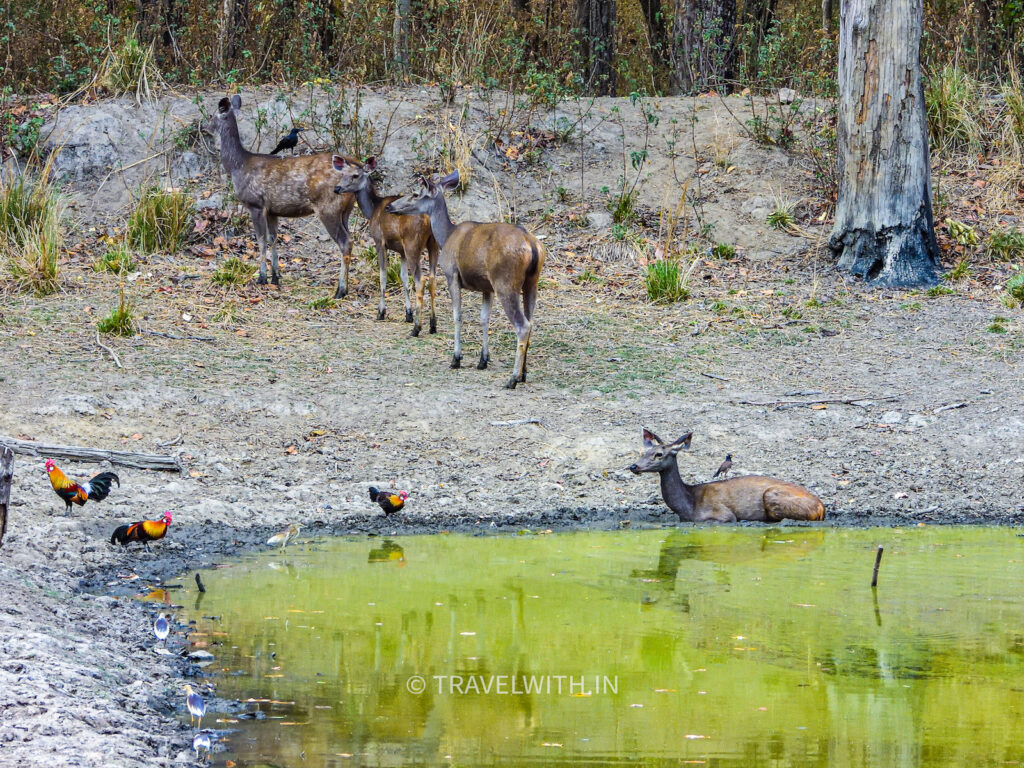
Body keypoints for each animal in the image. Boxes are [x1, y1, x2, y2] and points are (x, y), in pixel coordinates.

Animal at [209, 97, 358, 296]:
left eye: (212, 114)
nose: (204, 126)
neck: (237, 165)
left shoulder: (255, 203)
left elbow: (261, 240)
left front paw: (261, 278)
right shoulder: (273, 210)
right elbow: (273, 239)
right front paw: (275, 277)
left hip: (329, 207)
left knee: (345, 242)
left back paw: (340, 290)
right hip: (346, 211)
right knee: (350, 239)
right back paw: (344, 288)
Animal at [329, 156, 438, 335]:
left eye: (355, 175)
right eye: (342, 174)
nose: (337, 188)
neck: (372, 210)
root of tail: (428, 219)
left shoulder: (379, 241)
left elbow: (383, 275)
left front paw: (381, 312)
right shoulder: (401, 250)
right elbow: (404, 278)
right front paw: (408, 314)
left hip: (412, 244)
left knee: (421, 280)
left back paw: (417, 328)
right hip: (432, 244)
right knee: (433, 279)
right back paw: (433, 325)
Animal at [385, 167, 544, 385]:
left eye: (415, 194)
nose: (390, 206)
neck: (446, 236)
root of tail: (532, 245)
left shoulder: (451, 274)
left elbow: (457, 315)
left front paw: (456, 358)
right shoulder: (487, 287)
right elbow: (484, 319)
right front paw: (483, 360)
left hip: (505, 282)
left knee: (523, 326)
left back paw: (512, 379)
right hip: (531, 282)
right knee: (532, 322)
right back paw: (524, 373)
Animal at [626, 430, 827, 528]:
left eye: (659, 454)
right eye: (645, 451)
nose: (633, 466)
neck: (688, 505)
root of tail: (821, 506)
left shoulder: (723, 515)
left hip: (772, 495)